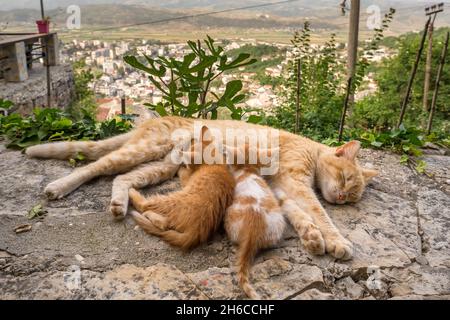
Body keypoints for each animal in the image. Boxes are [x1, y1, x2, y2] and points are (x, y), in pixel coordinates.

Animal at [24, 116, 376, 262]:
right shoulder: (295, 182)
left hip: (160, 166)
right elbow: (318, 212)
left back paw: (119, 205)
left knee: (121, 179)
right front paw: (337, 241)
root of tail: (152, 119)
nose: (342, 198)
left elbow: (301, 216)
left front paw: (313, 238)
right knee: (96, 166)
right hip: (143, 151)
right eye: (346, 180)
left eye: (351, 195)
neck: (311, 149)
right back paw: (59, 186)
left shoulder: (281, 191)